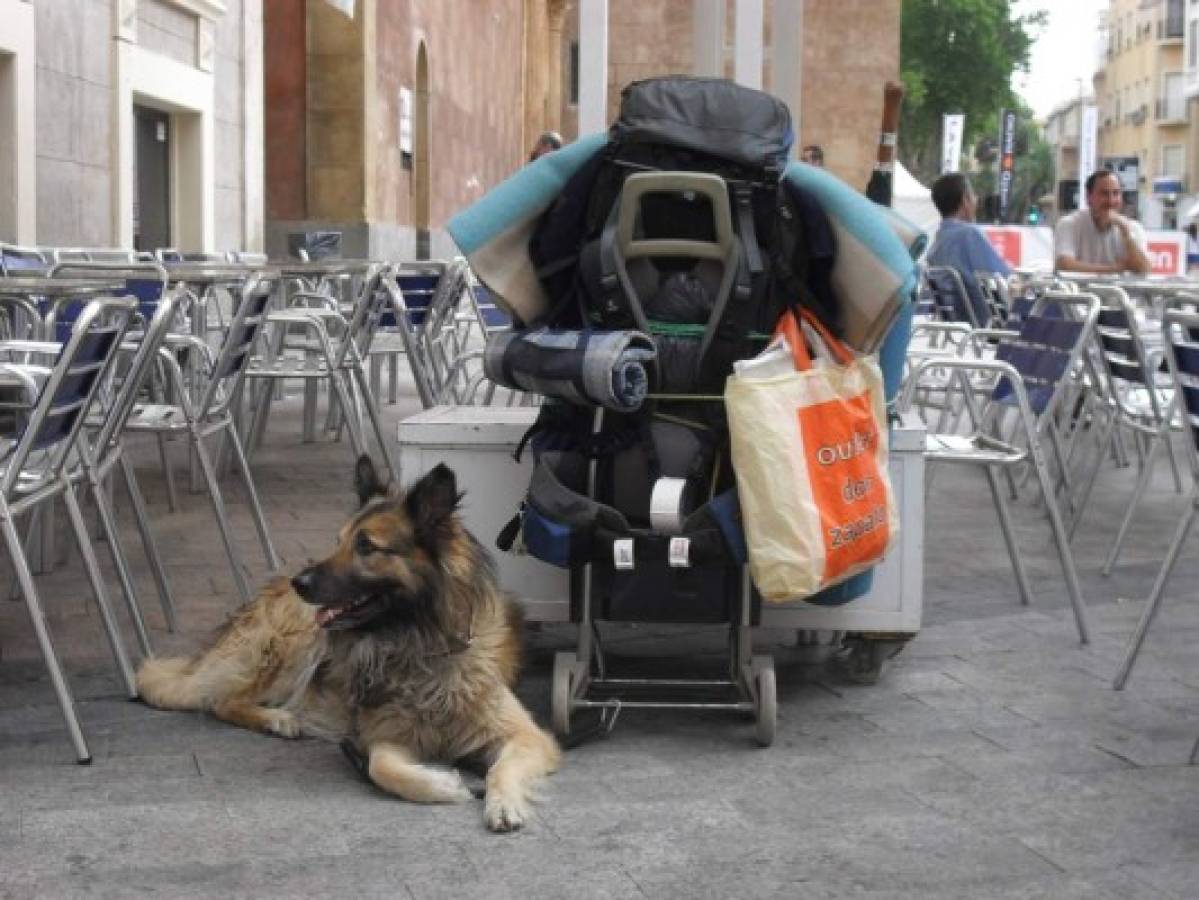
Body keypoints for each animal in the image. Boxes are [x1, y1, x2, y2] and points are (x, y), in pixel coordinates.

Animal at [137, 457, 561, 829]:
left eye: (367, 547)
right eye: (337, 541)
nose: (301, 582)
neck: (416, 644)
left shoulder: (524, 735)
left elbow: (501, 768)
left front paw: (503, 804)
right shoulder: (382, 736)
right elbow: (380, 767)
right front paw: (443, 784)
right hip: (295, 644)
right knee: (220, 699)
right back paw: (278, 718)